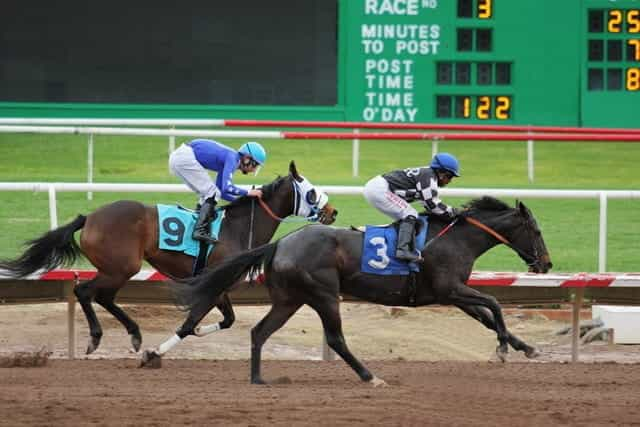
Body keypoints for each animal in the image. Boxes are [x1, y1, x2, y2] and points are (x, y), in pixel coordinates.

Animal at [0, 161, 338, 358]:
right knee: (85, 291)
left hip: (118, 269)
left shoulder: (219, 286)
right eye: (310, 191)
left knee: (103, 296)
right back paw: (98, 337)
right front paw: (160, 350)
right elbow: (190, 322)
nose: (333, 211)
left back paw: (135, 334)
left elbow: (227, 320)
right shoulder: (213, 284)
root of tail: (91, 217)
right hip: (123, 266)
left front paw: (200, 331)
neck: (238, 227)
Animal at [175, 199, 552, 386]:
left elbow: (487, 316)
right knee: (336, 339)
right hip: (324, 294)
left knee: (259, 331)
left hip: (290, 299)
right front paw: (503, 349)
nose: (546, 264)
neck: (457, 239)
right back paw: (370, 376)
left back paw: (257, 379)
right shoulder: (451, 288)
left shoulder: (451, 295)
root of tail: (281, 242)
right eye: (536, 230)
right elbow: (494, 303)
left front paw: (525, 347)